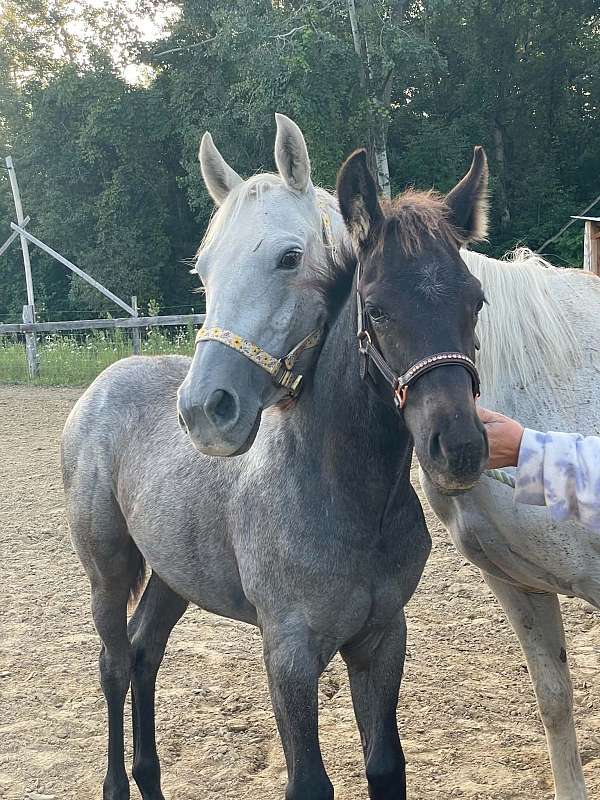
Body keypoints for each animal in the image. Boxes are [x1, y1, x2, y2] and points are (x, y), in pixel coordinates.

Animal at [61, 113, 487, 800]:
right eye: (376, 309)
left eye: (475, 300)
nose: (459, 448)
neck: (344, 495)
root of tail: (104, 382)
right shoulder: (288, 649)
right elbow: (308, 781)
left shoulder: (382, 638)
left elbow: (386, 766)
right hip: (108, 567)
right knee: (114, 663)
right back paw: (117, 784)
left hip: (173, 575)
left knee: (145, 651)